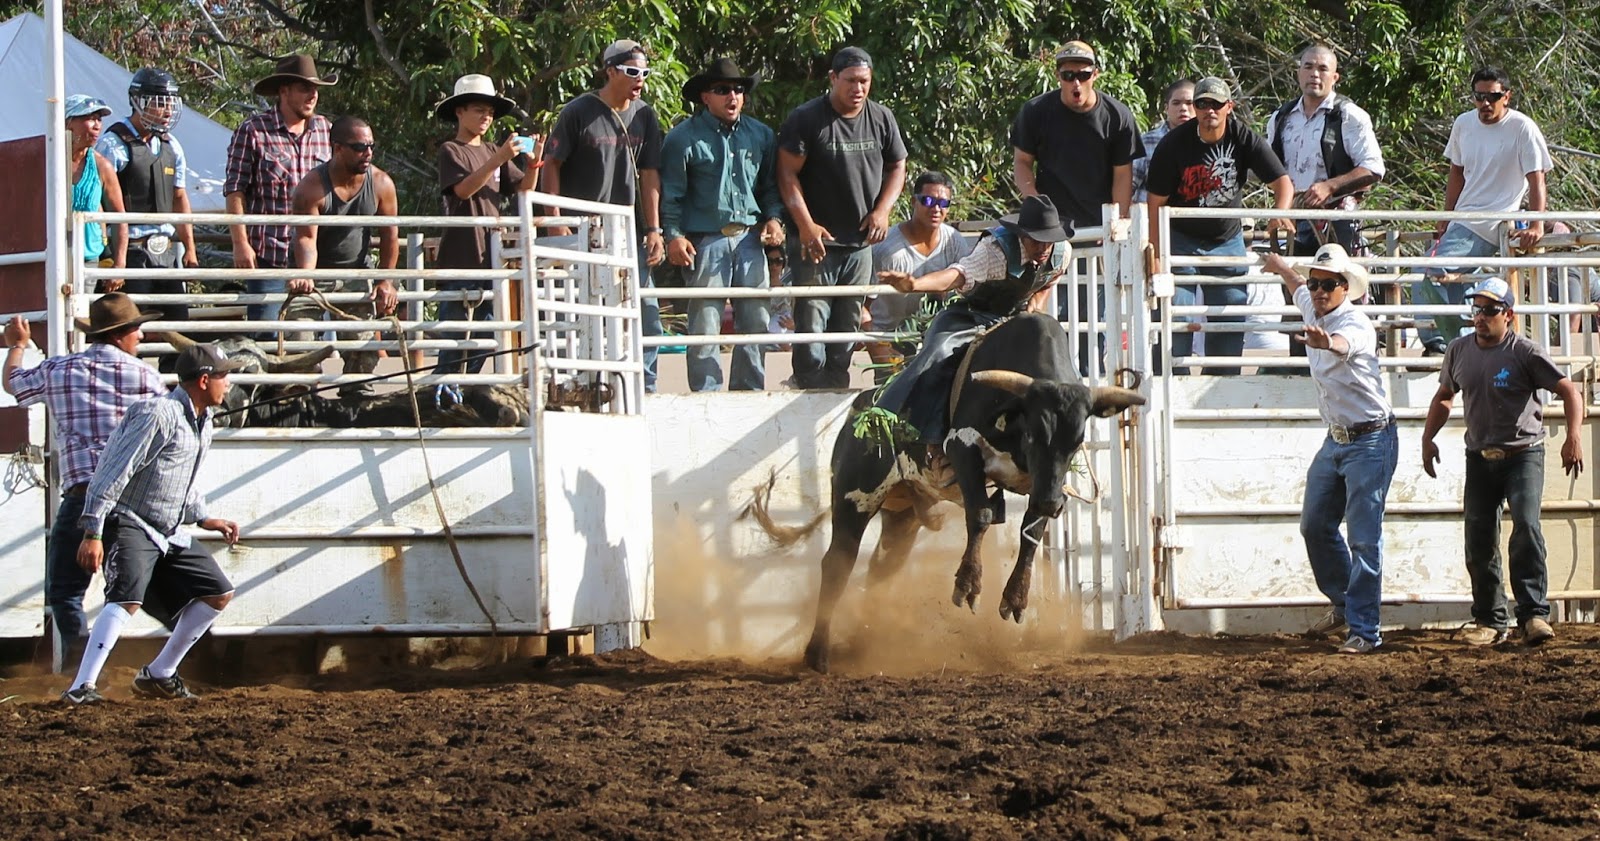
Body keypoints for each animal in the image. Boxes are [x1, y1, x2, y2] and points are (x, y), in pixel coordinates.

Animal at [757, 311, 1144, 673]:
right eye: (1034, 434)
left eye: (1077, 440)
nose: (1051, 503)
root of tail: (860, 406)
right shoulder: (963, 448)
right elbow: (981, 514)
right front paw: (968, 585)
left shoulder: (1045, 483)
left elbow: (1030, 532)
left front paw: (1016, 598)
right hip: (855, 494)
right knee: (839, 561)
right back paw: (817, 654)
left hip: (904, 515)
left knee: (882, 567)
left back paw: (859, 644)